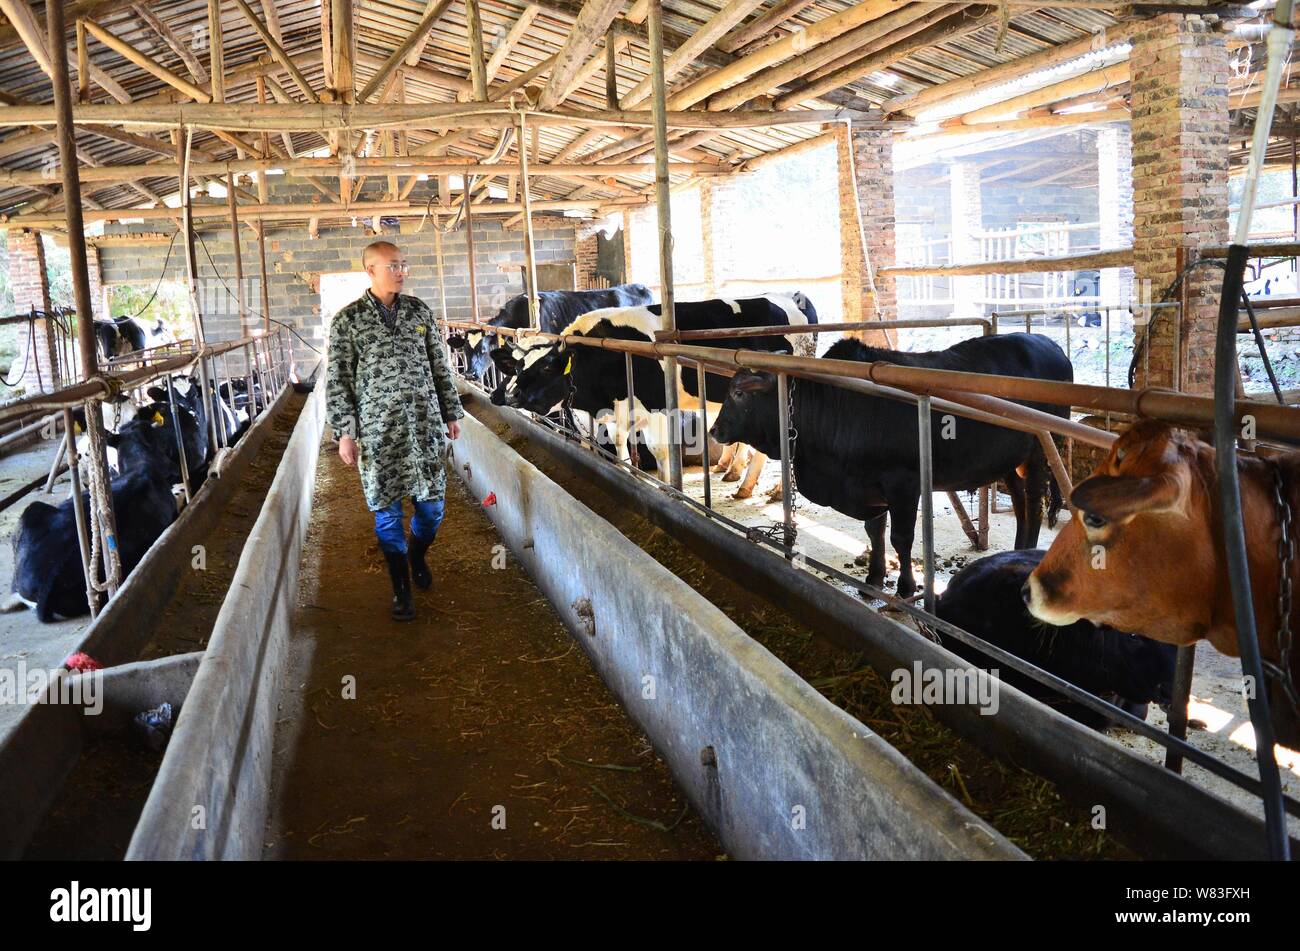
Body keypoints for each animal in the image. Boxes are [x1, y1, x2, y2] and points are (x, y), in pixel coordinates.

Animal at [501, 293, 816, 493]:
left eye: (546, 367)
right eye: (517, 365)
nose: (507, 395)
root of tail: (793, 297)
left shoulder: (658, 407)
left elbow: (660, 451)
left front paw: (668, 488)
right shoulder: (616, 412)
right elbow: (619, 443)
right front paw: (627, 473)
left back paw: (768, 489)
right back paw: (734, 473)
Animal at [707, 335, 1071, 595]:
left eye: (739, 393)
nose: (714, 430)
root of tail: (1050, 344)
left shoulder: (903, 484)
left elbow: (901, 537)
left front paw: (906, 587)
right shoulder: (869, 487)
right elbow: (875, 531)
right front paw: (873, 577)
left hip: (1042, 450)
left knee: (1034, 505)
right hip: (1010, 462)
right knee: (1021, 503)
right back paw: (1016, 550)